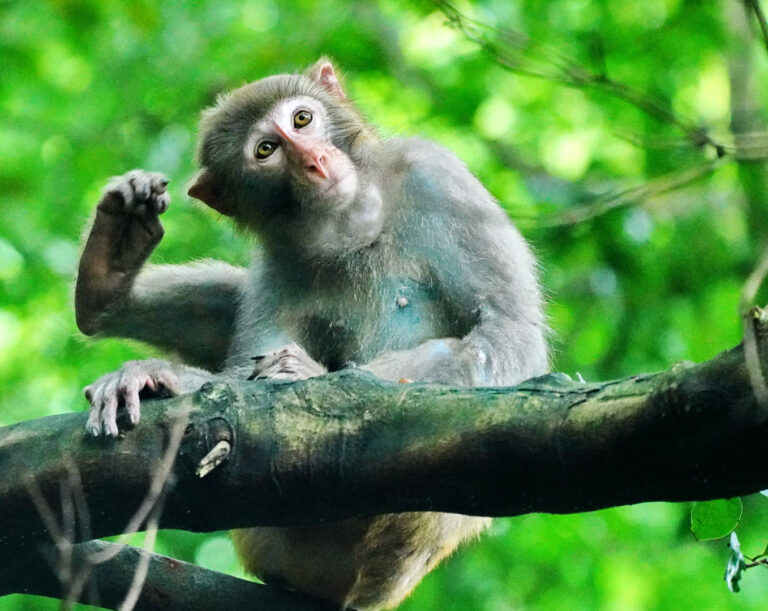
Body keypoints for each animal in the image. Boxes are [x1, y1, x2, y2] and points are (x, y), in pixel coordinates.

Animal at [76, 58, 549, 610]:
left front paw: (297, 373)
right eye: (266, 150)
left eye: (302, 120)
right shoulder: (276, 252)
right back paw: (106, 277)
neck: (352, 220)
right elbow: (242, 377)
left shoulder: (437, 173)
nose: (314, 161)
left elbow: (507, 329)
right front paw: (166, 375)